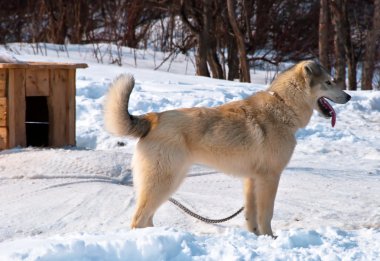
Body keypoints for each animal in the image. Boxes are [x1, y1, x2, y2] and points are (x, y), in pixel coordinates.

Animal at [103, 60, 350, 236]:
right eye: (329, 82)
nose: (348, 96)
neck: (283, 105)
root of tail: (152, 118)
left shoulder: (252, 179)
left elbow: (251, 216)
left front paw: (256, 237)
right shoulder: (269, 178)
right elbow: (266, 214)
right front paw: (271, 238)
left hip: (168, 182)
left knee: (146, 219)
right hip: (164, 183)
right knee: (138, 220)